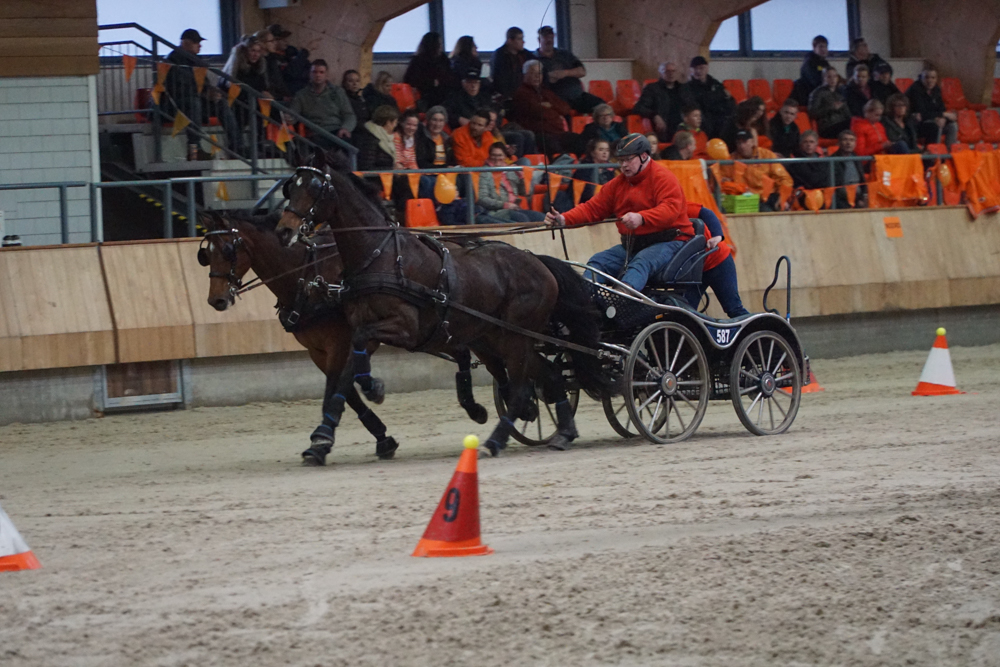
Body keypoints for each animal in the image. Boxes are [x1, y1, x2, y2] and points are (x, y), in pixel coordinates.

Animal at [198, 209, 488, 465]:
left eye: (227, 250)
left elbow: (337, 386)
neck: (307, 276)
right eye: (205, 255)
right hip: (434, 332)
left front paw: (320, 442)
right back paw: (474, 407)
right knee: (462, 353)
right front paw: (381, 437)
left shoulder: (342, 342)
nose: (216, 300)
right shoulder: (318, 351)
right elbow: (345, 389)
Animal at [273, 154, 614, 456]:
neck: (381, 255)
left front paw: (374, 389)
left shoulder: (403, 328)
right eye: (291, 186)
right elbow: (346, 378)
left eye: (314, 187)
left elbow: (356, 364)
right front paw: (321, 439)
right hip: (501, 338)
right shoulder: (365, 331)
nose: (284, 231)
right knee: (552, 378)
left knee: (520, 391)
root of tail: (539, 262)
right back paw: (564, 433)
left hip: (516, 337)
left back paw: (494, 442)